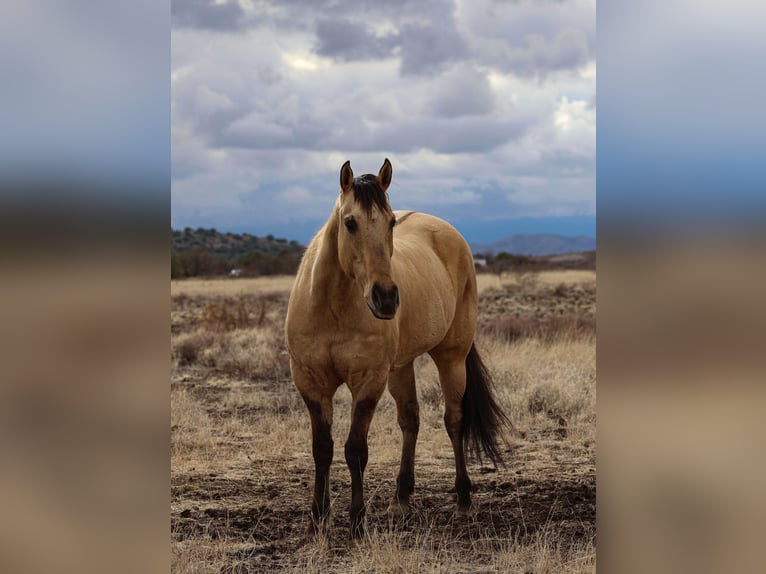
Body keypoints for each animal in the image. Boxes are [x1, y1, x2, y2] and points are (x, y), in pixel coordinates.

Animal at [284, 159, 512, 540]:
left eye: (391, 221)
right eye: (350, 223)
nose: (387, 298)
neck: (332, 307)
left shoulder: (369, 381)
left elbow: (355, 450)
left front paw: (357, 522)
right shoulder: (310, 382)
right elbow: (322, 449)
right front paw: (317, 519)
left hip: (451, 357)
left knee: (454, 420)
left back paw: (464, 498)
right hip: (401, 366)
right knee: (410, 420)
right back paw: (401, 497)